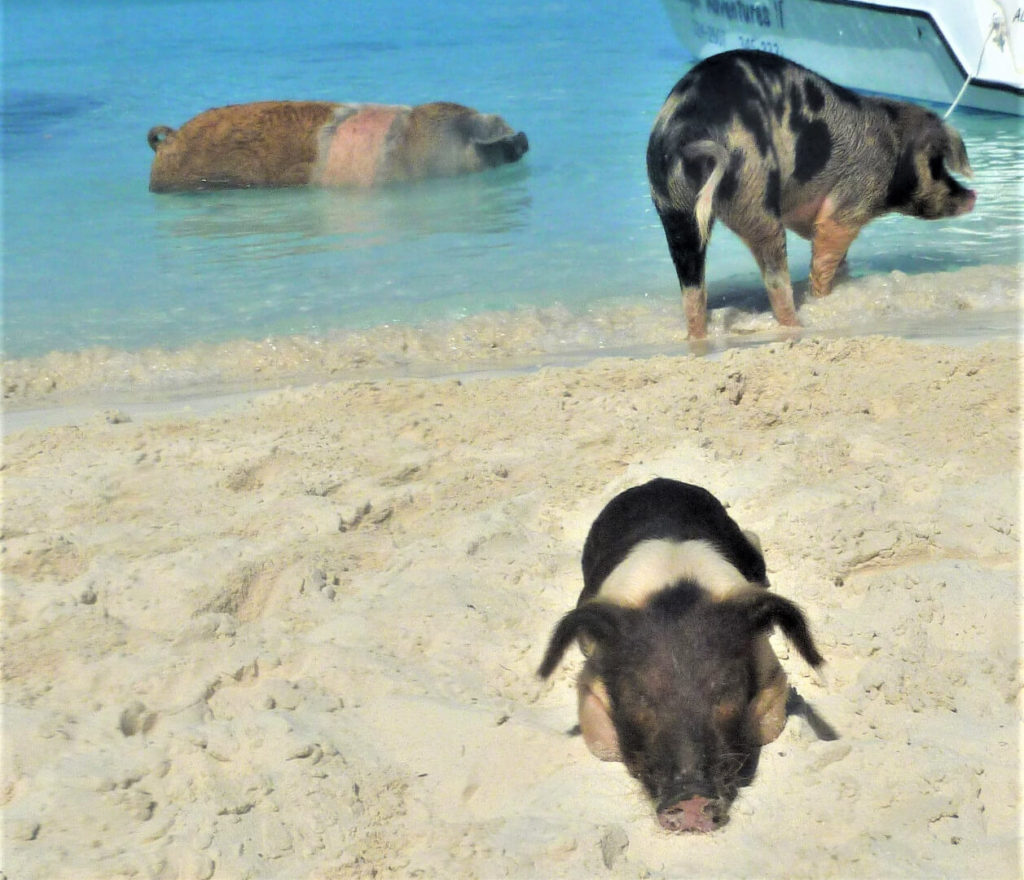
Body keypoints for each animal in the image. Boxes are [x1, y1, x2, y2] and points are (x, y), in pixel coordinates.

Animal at [536, 481, 823, 831]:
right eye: (639, 696)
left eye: (726, 689)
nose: (690, 797)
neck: (673, 589)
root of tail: (657, 482)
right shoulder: (590, 680)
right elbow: (602, 745)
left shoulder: (772, 670)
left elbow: (771, 724)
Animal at [647, 49, 974, 338]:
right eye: (936, 164)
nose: (972, 196)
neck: (892, 149)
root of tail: (690, 134)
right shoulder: (853, 198)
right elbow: (826, 252)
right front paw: (822, 297)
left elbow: (836, 256)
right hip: (754, 190)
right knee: (775, 277)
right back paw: (798, 325)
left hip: (672, 205)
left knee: (692, 287)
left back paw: (696, 336)